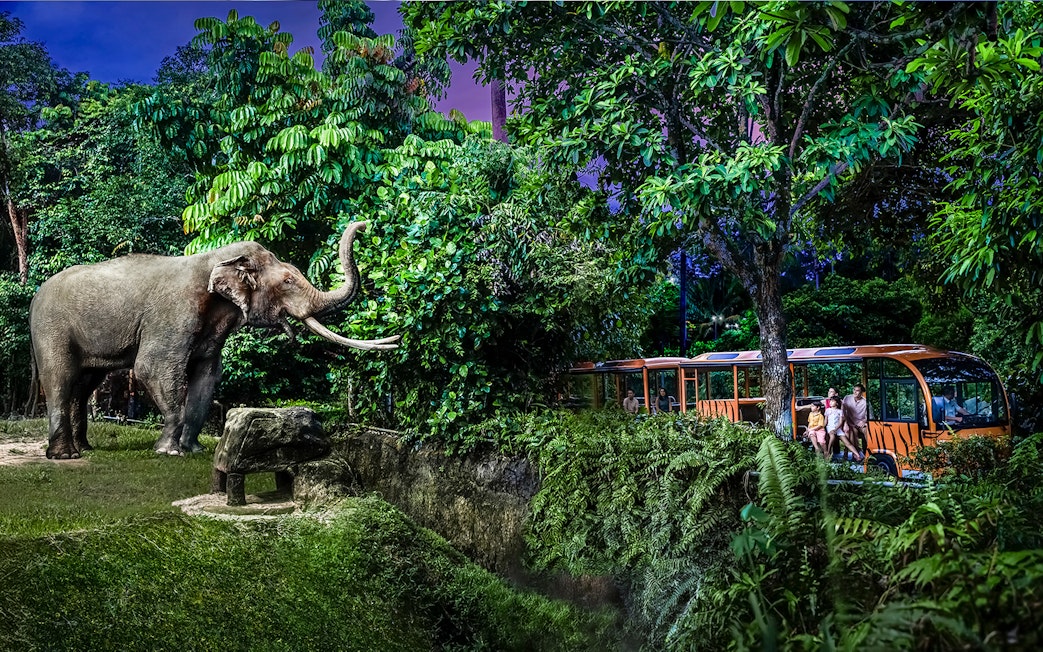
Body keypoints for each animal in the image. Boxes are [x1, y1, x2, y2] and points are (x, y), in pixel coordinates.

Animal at [29, 221, 399, 459]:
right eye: (288, 281)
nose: (365, 225)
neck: (214, 257)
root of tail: (35, 297)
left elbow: (208, 374)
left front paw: (194, 450)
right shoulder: (173, 312)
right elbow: (152, 368)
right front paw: (169, 452)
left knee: (85, 383)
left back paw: (85, 449)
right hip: (50, 328)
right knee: (61, 378)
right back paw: (64, 457)